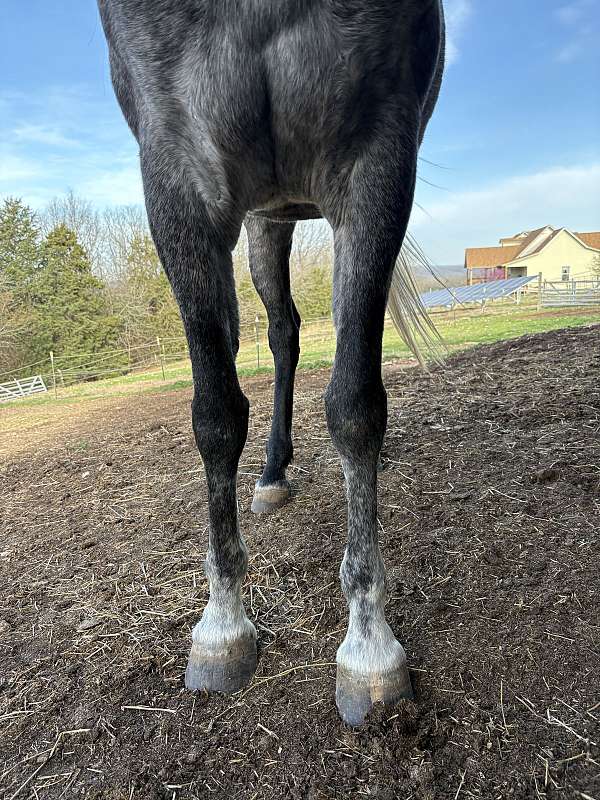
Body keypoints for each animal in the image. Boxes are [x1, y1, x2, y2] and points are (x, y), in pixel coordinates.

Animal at [97, 0, 445, 726]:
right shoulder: (176, 179)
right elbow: (215, 414)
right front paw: (221, 624)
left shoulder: (377, 166)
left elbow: (355, 405)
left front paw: (369, 647)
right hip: (265, 220)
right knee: (282, 332)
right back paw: (272, 469)